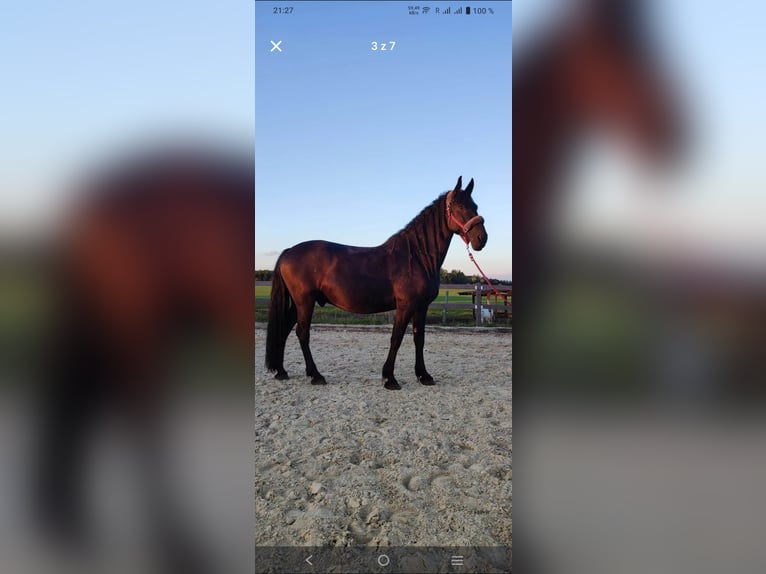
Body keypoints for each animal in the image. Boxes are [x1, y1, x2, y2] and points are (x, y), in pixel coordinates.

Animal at [265, 176, 488, 390]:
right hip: (305, 302)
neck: (415, 256)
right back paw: (315, 375)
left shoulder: (421, 307)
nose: (481, 239)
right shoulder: (405, 306)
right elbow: (396, 338)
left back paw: (281, 371)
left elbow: (419, 339)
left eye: (475, 206)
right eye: (460, 207)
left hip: (299, 304)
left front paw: (424, 375)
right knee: (302, 333)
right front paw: (389, 378)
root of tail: (288, 252)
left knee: (284, 329)